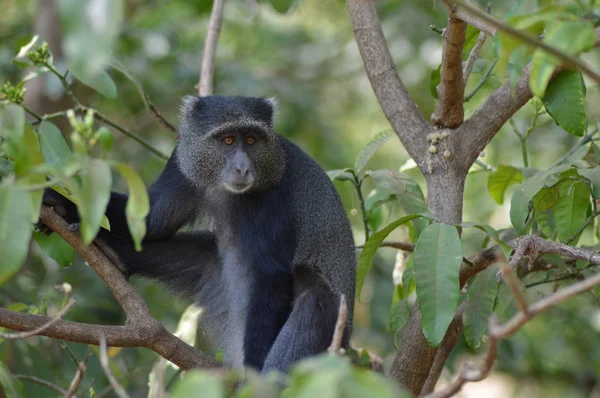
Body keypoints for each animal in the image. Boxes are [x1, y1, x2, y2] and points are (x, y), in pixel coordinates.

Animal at [41, 94, 356, 374]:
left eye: (251, 140)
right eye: (228, 140)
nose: (242, 167)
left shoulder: (274, 198)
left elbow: (272, 274)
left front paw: (254, 372)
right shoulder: (181, 161)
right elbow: (152, 220)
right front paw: (62, 203)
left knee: (314, 293)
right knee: (205, 252)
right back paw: (115, 252)